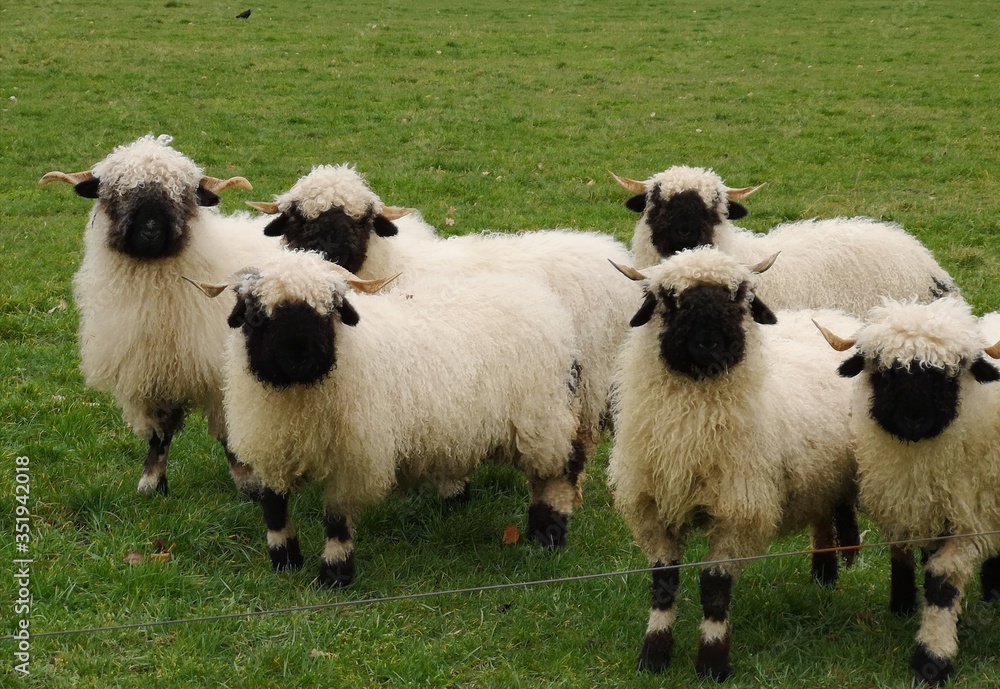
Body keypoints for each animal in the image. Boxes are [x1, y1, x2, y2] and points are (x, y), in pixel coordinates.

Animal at [39, 134, 282, 497]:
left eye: (182, 195)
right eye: (116, 193)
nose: (151, 229)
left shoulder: (220, 373)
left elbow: (229, 435)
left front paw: (248, 484)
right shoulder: (151, 372)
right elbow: (159, 433)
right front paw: (152, 483)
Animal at [198, 249, 589, 587]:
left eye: (330, 312)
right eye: (256, 316)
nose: (299, 357)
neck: (297, 397)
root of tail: (542, 300)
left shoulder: (353, 459)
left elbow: (336, 518)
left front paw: (334, 575)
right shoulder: (270, 445)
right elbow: (274, 507)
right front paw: (284, 561)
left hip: (543, 417)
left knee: (560, 470)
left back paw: (549, 533)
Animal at [246, 164, 639, 466]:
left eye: (361, 222)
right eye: (297, 219)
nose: (327, 253)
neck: (391, 269)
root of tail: (615, 255)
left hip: (591, 376)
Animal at [608, 247, 861, 681]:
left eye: (738, 296)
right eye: (669, 299)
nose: (710, 344)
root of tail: (831, 315)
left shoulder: (738, 510)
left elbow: (714, 587)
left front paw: (712, 663)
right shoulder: (653, 508)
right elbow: (663, 582)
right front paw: (653, 656)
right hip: (820, 475)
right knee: (821, 512)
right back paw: (823, 574)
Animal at [815, 297, 1000, 685]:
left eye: (949, 375)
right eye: (885, 372)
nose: (913, 419)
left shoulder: (971, 517)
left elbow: (942, 578)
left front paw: (933, 658)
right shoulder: (930, 509)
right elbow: (921, 562)